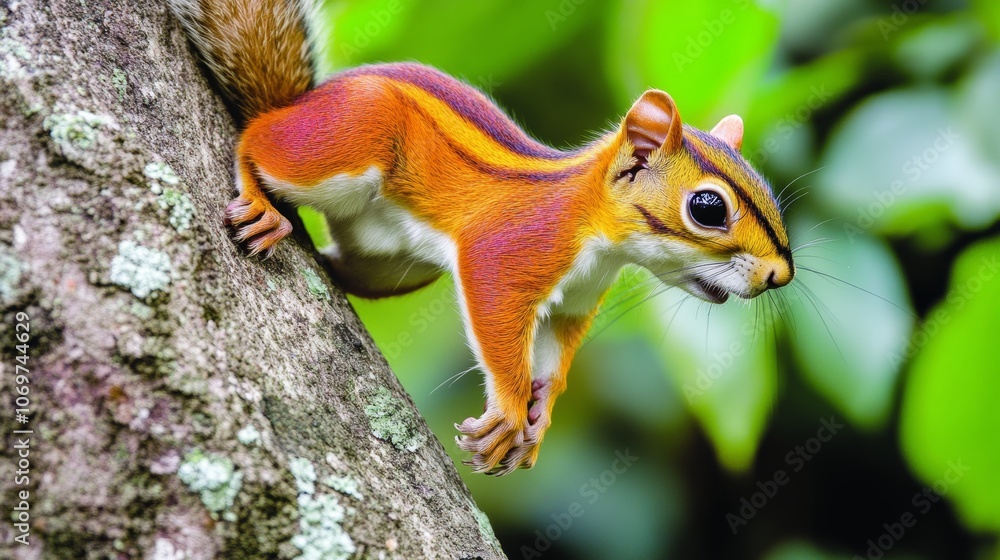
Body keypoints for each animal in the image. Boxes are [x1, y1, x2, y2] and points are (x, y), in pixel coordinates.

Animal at [169, 0, 794, 475]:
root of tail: (296, 104)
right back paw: (260, 197)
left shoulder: (575, 303)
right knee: (254, 140)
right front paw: (512, 413)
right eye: (708, 208)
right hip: (350, 138)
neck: (598, 235)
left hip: (391, 265)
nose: (779, 275)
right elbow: (499, 324)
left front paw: (540, 420)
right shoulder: (509, 253)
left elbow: (555, 358)